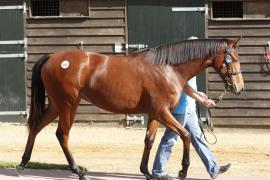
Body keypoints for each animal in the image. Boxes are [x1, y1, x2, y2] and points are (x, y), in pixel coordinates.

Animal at [16, 38, 245, 179]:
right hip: (68, 105)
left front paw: (147, 172)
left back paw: (22, 164)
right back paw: (78, 171)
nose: (239, 87)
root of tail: (52, 57)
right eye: (232, 59)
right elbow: (186, 134)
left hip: (56, 105)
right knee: (62, 134)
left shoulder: (154, 114)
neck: (168, 68)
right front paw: (182, 171)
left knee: (36, 128)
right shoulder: (162, 112)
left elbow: (149, 141)